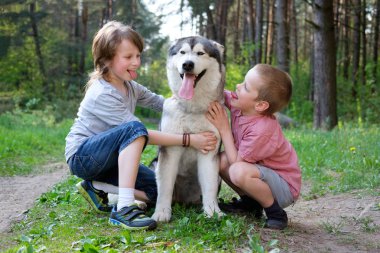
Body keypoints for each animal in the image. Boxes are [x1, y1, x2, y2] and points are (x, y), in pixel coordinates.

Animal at [151, 35, 226, 221]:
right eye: (182, 52)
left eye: (200, 53)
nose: (188, 65)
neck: (192, 108)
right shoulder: (169, 151)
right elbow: (165, 187)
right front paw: (161, 212)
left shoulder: (210, 150)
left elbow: (209, 186)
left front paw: (213, 212)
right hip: (154, 164)